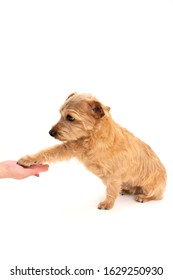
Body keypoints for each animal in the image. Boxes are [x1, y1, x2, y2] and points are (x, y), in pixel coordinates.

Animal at [17, 93, 166, 209]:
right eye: (60, 114)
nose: (50, 133)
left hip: (151, 188)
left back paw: (143, 197)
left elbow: (111, 190)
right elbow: (48, 152)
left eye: (70, 117)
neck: (92, 138)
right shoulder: (70, 147)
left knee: (158, 196)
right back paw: (127, 189)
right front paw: (29, 159)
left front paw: (107, 204)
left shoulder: (115, 174)